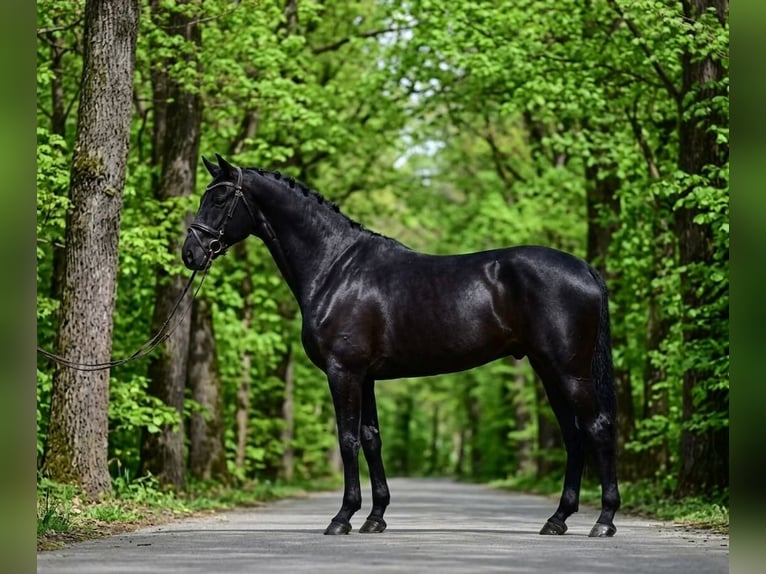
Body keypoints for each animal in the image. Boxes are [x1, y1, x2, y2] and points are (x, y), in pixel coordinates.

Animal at [182, 154, 620, 537]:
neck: (335, 267)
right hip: (549, 371)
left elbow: (348, 440)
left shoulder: (344, 372)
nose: (191, 253)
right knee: (574, 435)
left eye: (219, 199)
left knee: (597, 427)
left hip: (569, 370)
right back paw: (558, 520)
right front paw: (374, 517)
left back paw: (604, 521)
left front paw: (342, 518)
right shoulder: (366, 377)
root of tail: (585, 269)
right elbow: (372, 439)